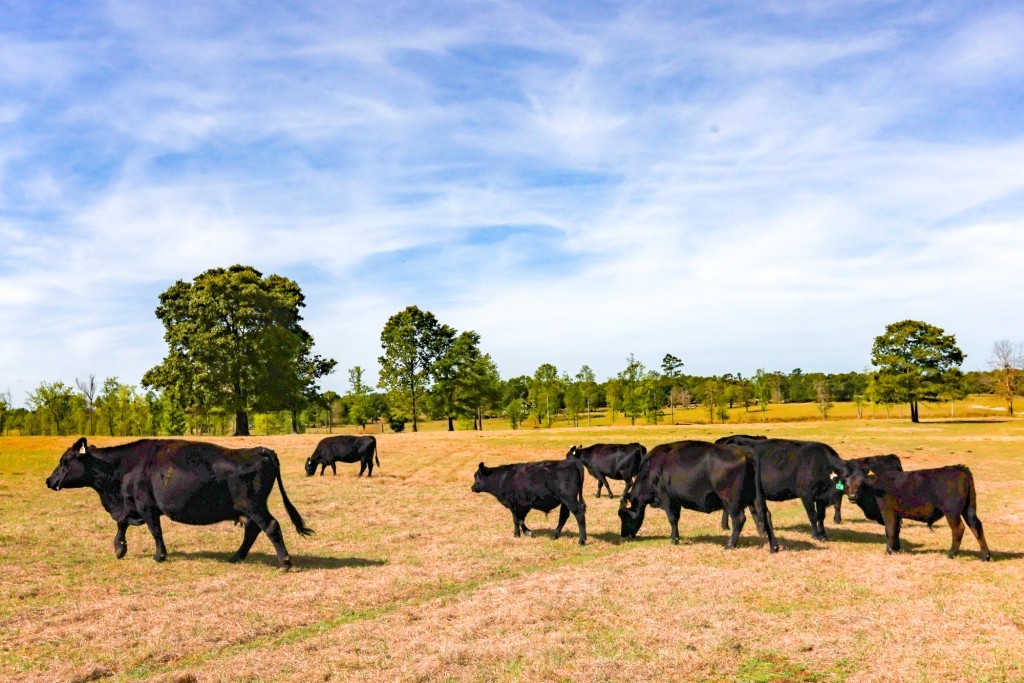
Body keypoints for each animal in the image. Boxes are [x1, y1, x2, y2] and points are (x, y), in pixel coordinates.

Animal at [45, 438, 313, 570]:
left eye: (64, 461)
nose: (49, 480)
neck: (125, 466)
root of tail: (259, 450)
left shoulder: (147, 507)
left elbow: (155, 532)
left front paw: (159, 556)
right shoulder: (130, 507)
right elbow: (122, 524)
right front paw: (119, 548)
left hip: (254, 506)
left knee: (271, 527)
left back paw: (284, 562)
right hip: (248, 509)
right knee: (253, 531)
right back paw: (237, 557)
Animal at [618, 440, 779, 552]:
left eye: (623, 516)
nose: (623, 534)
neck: (651, 469)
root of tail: (743, 452)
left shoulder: (666, 498)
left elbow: (672, 519)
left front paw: (674, 540)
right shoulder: (676, 501)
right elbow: (676, 519)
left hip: (731, 501)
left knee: (739, 519)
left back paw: (730, 545)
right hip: (755, 498)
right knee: (766, 515)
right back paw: (774, 547)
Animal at [715, 435, 848, 541]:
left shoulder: (821, 497)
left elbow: (821, 517)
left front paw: (824, 535)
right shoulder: (806, 495)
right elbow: (813, 516)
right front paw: (816, 535)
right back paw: (727, 526)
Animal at [841, 465, 991, 561]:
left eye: (861, 485)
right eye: (847, 486)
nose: (852, 496)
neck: (875, 489)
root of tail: (957, 468)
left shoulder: (888, 512)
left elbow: (890, 530)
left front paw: (889, 551)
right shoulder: (897, 515)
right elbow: (896, 531)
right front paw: (896, 549)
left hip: (952, 512)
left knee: (958, 528)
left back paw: (951, 554)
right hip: (968, 510)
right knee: (976, 526)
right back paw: (985, 556)